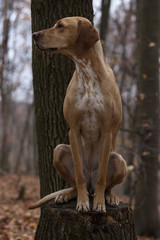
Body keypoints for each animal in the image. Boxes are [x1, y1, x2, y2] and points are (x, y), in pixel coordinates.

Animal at [30, 16, 127, 212]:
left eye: (60, 26)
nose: (34, 34)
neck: (87, 73)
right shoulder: (73, 129)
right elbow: (79, 174)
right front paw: (82, 202)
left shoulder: (107, 131)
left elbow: (102, 178)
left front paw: (99, 203)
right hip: (59, 150)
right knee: (76, 183)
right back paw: (67, 194)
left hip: (119, 159)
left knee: (106, 185)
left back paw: (109, 197)